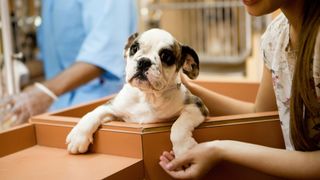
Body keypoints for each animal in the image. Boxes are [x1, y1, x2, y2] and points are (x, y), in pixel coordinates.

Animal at [66, 28, 209, 158]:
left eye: (166, 57)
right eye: (134, 48)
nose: (144, 61)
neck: (147, 96)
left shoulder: (196, 106)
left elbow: (178, 126)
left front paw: (184, 148)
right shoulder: (112, 107)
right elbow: (92, 114)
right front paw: (78, 136)